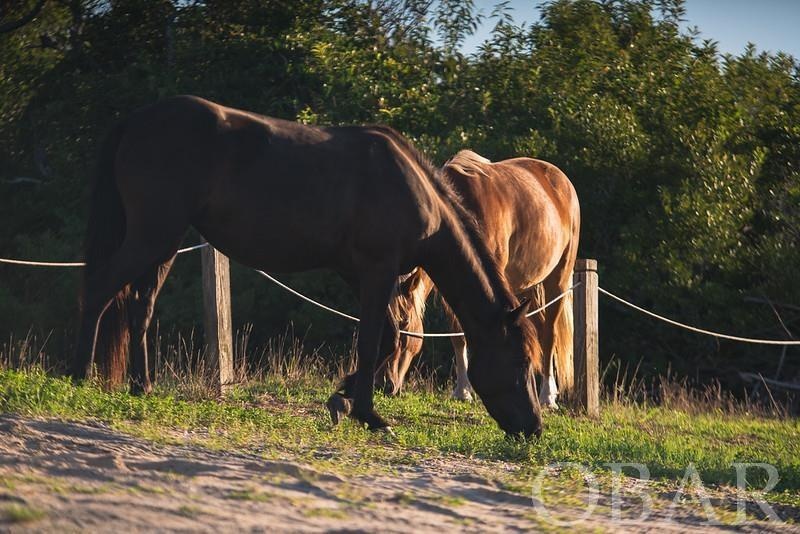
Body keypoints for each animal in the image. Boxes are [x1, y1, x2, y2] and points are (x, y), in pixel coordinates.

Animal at [72, 97, 544, 440]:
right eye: (521, 360)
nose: (534, 428)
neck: (412, 187)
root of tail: (136, 121)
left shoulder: (357, 273)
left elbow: (387, 339)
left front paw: (342, 400)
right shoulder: (377, 270)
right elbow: (373, 342)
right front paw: (368, 414)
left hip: (164, 243)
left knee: (140, 306)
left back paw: (142, 387)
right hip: (152, 236)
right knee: (97, 291)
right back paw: (79, 377)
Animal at [382, 151, 580, 410]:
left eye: (404, 322)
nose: (386, 384)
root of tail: (561, 179)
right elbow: (458, 335)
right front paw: (463, 390)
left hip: (559, 278)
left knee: (549, 335)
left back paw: (547, 395)